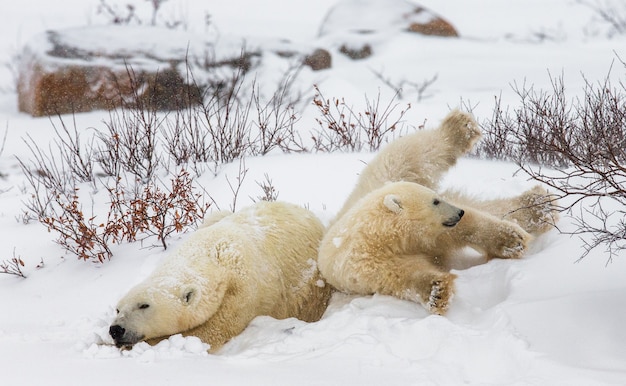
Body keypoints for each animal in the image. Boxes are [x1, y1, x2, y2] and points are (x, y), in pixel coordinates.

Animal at [108, 202, 332, 352]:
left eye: (144, 305)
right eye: (118, 308)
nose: (116, 329)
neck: (215, 254)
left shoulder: (243, 291)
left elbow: (214, 330)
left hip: (311, 285)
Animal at [320, 110, 552, 316]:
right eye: (435, 201)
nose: (458, 213)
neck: (381, 236)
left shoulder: (433, 231)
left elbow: (468, 226)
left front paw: (509, 239)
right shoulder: (366, 265)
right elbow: (402, 275)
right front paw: (436, 292)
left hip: (390, 172)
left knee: (416, 152)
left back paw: (460, 128)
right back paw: (540, 207)